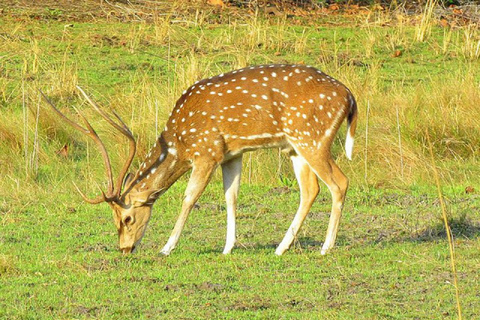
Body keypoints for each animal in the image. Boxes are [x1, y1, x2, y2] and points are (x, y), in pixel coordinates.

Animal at [42, 64, 356, 255]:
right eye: (114, 219)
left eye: (127, 218)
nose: (125, 249)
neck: (180, 140)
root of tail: (350, 97)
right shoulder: (232, 153)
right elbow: (231, 196)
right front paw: (228, 247)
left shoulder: (207, 152)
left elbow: (189, 197)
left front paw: (167, 247)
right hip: (294, 148)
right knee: (310, 189)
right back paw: (281, 247)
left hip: (312, 138)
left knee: (339, 182)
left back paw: (326, 247)